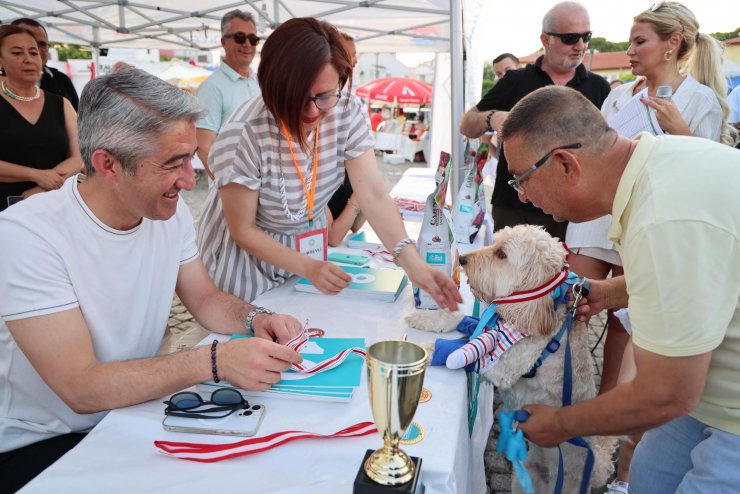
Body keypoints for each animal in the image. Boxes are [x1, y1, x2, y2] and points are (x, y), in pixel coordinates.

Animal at [404, 226, 612, 492]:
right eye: (494, 243)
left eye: (502, 254)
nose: (463, 259)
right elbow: (460, 321)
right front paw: (425, 318)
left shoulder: (501, 368)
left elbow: (454, 350)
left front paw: (415, 351)